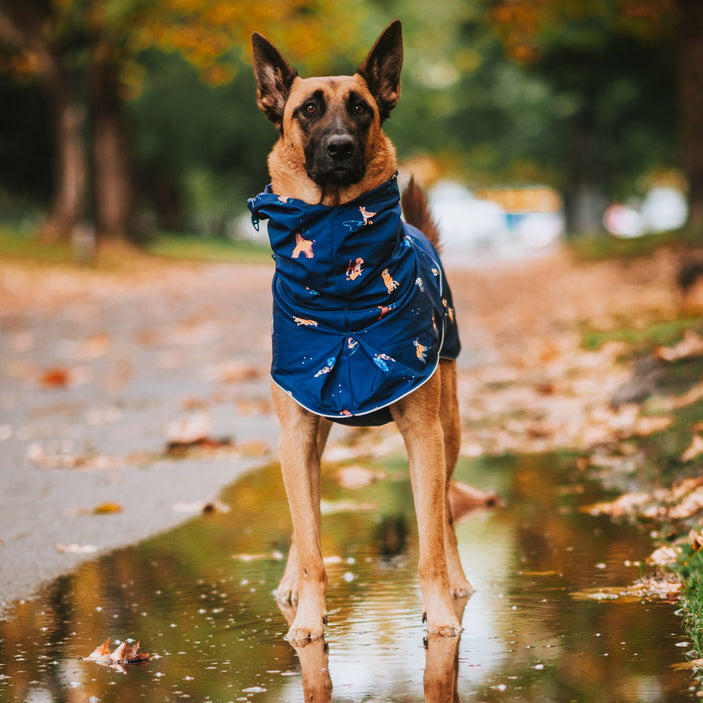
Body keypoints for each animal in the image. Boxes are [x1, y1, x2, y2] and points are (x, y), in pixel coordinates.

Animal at [250, 17, 470, 644]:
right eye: (308, 110)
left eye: (361, 108)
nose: (340, 148)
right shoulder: (298, 435)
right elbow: (311, 542)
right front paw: (307, 616)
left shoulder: (424, 436)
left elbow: (429, 541)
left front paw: (439, 614)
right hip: (309, 438)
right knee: (302, 525)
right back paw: (290, 585)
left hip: (449, 428)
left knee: (447, 513)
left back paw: (459, 584)